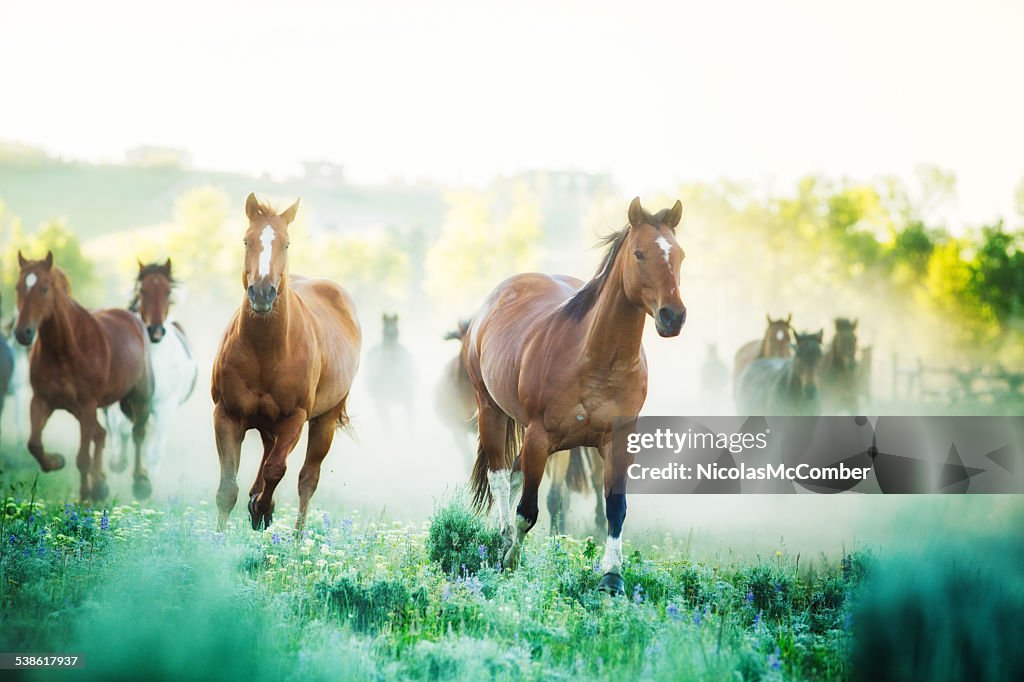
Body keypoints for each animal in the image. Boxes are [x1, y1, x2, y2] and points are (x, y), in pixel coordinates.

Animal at [13, 249, 153, 499]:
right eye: (18, 287)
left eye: (44, 288)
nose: (23, 333)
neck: (66, 349)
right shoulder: (41, 401)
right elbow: (34, 444)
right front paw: (57, 462)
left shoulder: (87, 405)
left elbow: (82, 458)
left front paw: (86, 497)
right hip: (78, 409)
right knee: (101, 434)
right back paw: (101, 484)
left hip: (139, 396)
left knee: (137, 432)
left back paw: (140, 483)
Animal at [106, 258, 197, 475]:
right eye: (142, 290)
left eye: (167, 292)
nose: (155, 331)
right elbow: (119, 431)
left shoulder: (164, 407)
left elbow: (153, 453)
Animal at [211, 192, 364, 532]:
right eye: (246, 240)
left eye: (286, 244)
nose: (262, 293)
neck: (265, 352)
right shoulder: (226, 414)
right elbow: (227, 487)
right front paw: (217, 537)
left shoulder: (294, 418)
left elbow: (276, 469)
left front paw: (262, 509)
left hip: (324, 421)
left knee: (307, 478)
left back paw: (295, 536)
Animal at [464, 195, 688, 589]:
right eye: (639, 254)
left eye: (679, 255)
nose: (672, 316)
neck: (597, 361)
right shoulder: (538, 439)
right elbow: (527, 511)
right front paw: (510, 561)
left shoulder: (618, 442)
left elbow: (616, 508)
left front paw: (612, 577)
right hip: (491, 409)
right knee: (501, 476)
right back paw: (502, 537)